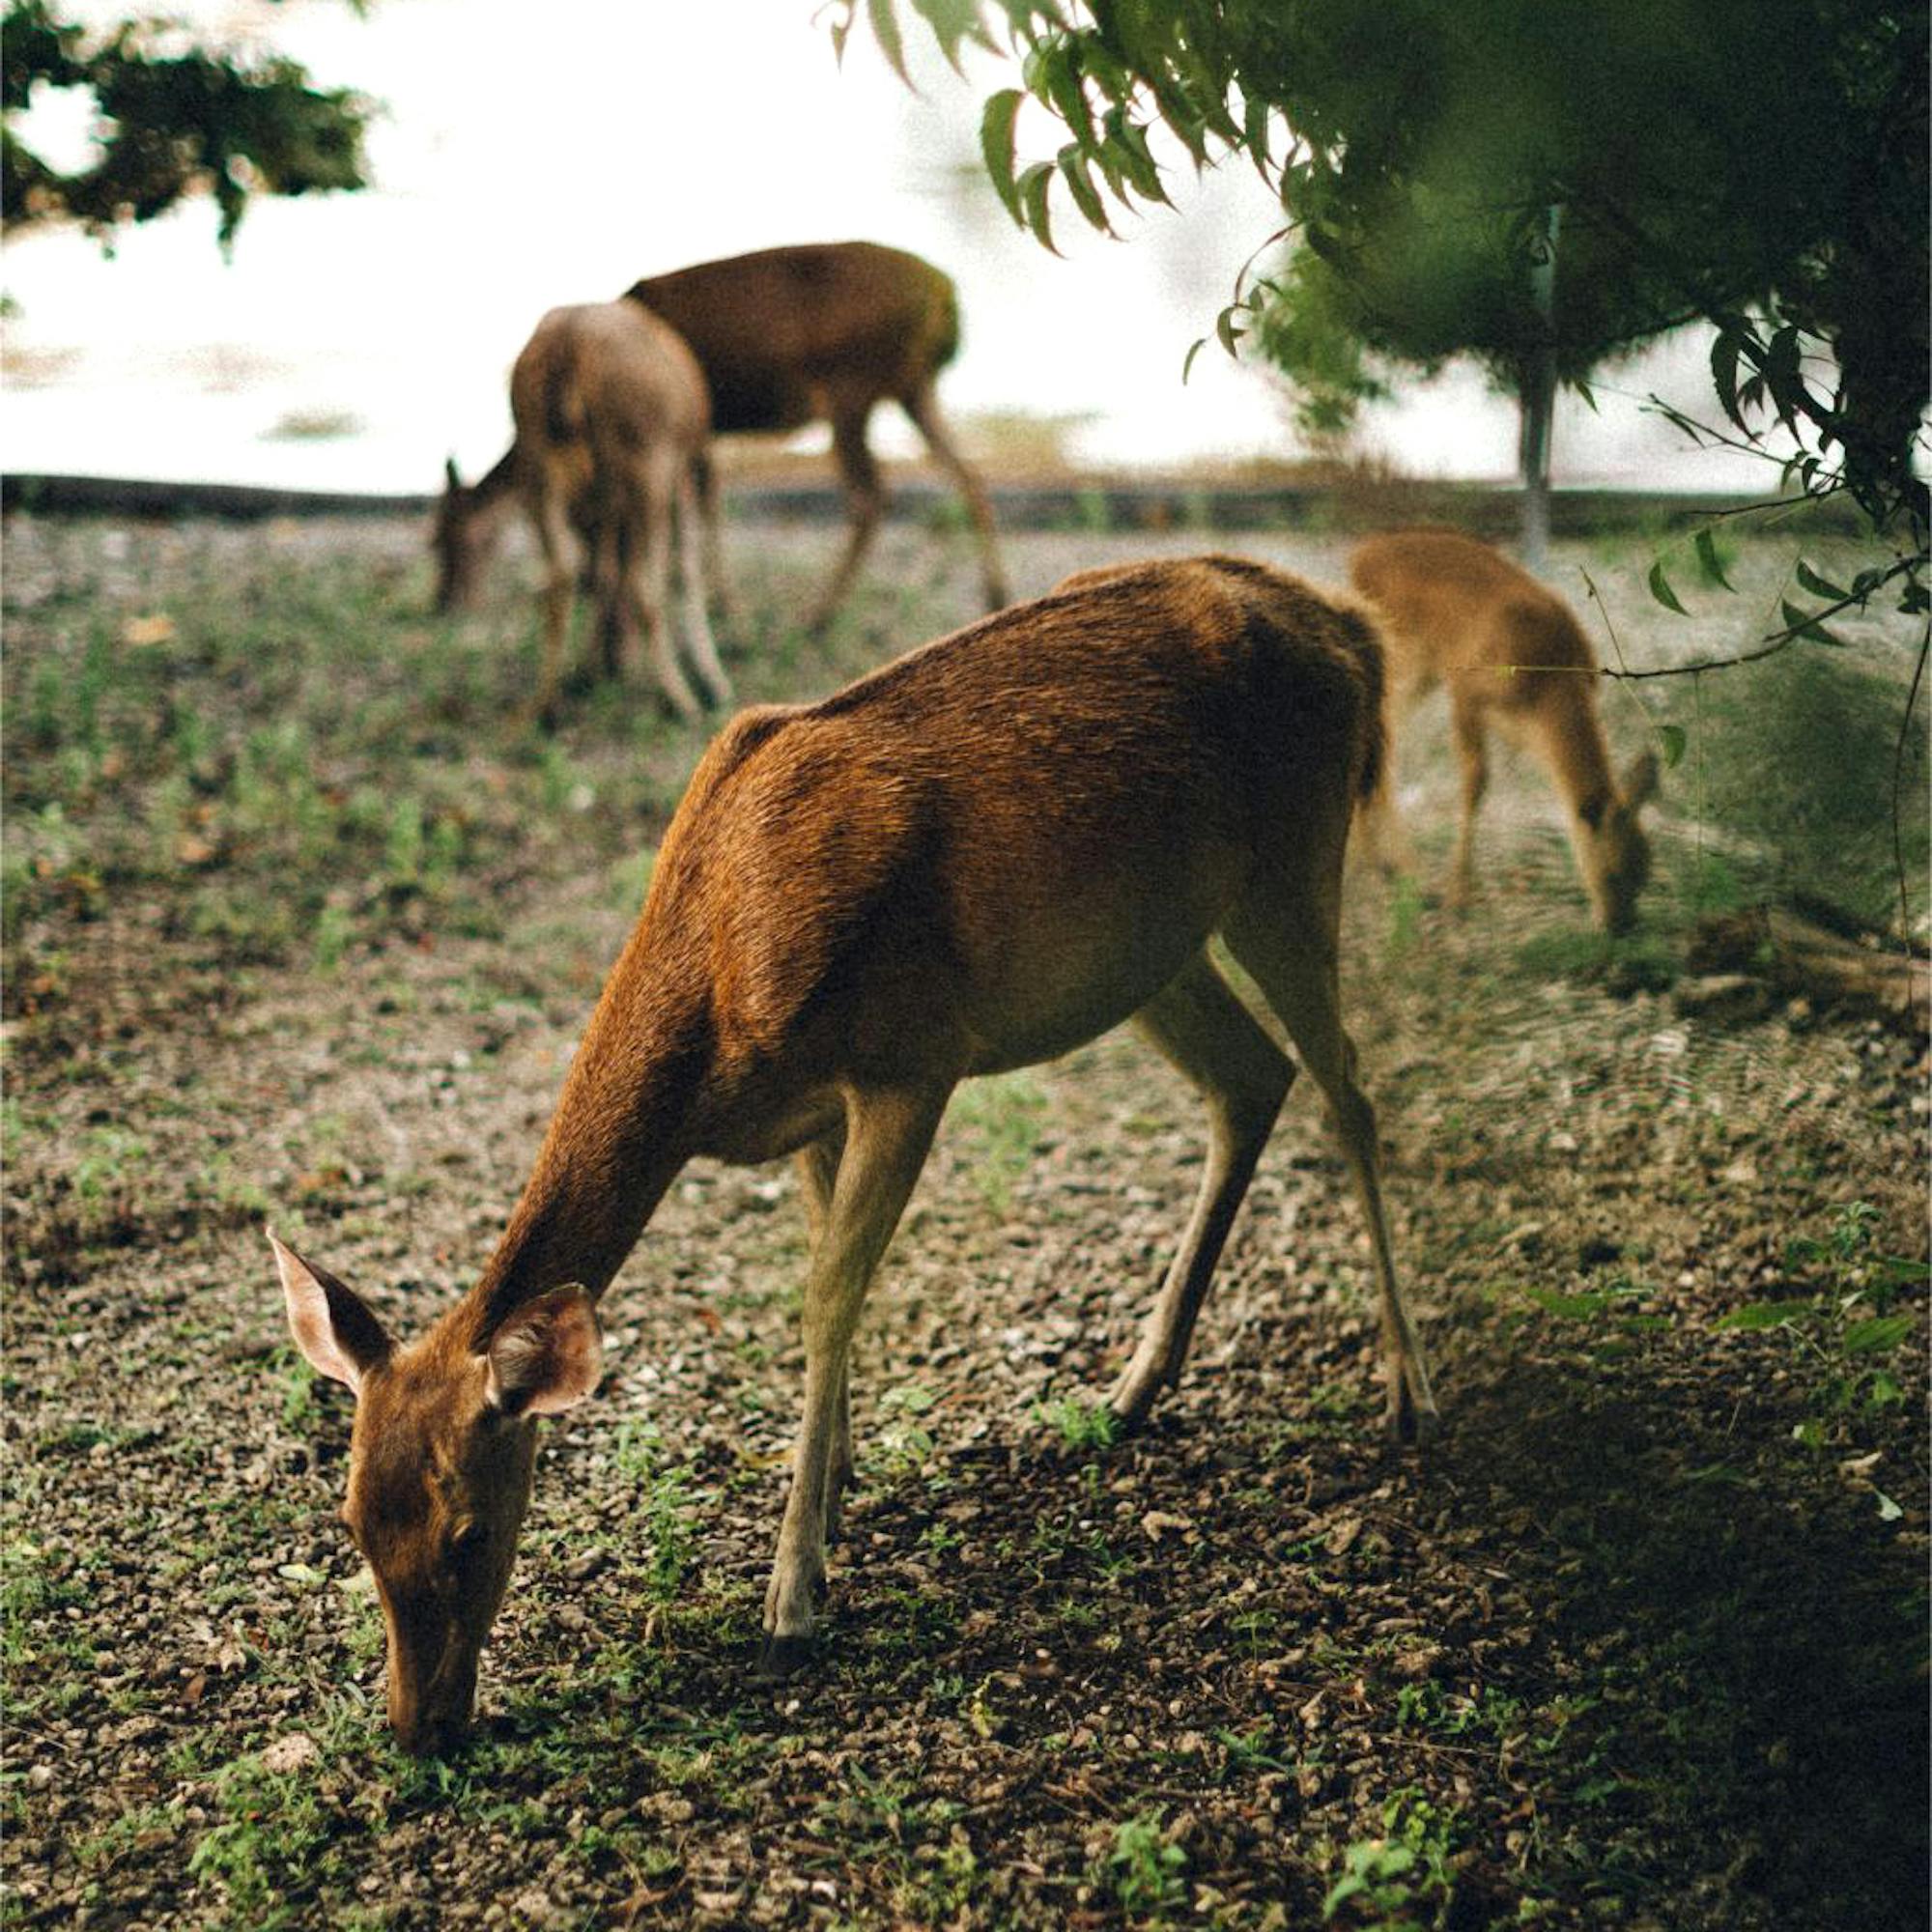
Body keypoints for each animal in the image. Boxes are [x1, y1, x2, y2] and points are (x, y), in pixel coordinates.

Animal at [271, 554, 1437, 1755]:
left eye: (465, 1531)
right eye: (349, 1518)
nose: (417, 1724)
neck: (720, 1014)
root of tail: (1350, 628)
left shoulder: (910, 1058)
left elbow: (828, 1296)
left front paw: (792, 1595)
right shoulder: (811, 1110)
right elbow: (826, 1274)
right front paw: (833, 1490)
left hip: (1294, 856)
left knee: (1348, 1086)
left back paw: (1407, 1389)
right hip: (1146, 951)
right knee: (1250, 1079)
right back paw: (1130, 1386)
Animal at [432, 301, 733, 727]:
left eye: (447, 537)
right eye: (436, 541)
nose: (443, 601)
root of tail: (567, 348)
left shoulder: (599, 505)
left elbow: (603, 572)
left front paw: (599, 666)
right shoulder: (681, 469)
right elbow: (679, 570)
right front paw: (712, 681)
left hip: (543, 466)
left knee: (562, 573)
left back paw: (545, 704)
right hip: (647, 459)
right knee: (647, 581)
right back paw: (680, 698)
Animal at [621, 241, 1010, 631]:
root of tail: (945, 296)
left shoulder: (690, 428)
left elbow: (695, 508)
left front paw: (723, 605)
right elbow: (704, 501)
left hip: (853, 384)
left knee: (869, 496)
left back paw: (818, 616)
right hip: (912, 389)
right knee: (968, 475)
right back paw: (996, 596)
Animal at [1349, 527, 1660, 934]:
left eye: (1645, 873)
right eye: (1613, 873)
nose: (1620, 928)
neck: (1548, 679)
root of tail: (1358, 556)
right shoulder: (1466, 690)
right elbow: (1476, 785)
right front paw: (1458, 899)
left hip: (1421, 669)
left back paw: (1376, 861)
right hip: (1405, 656)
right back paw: (1400, 868)